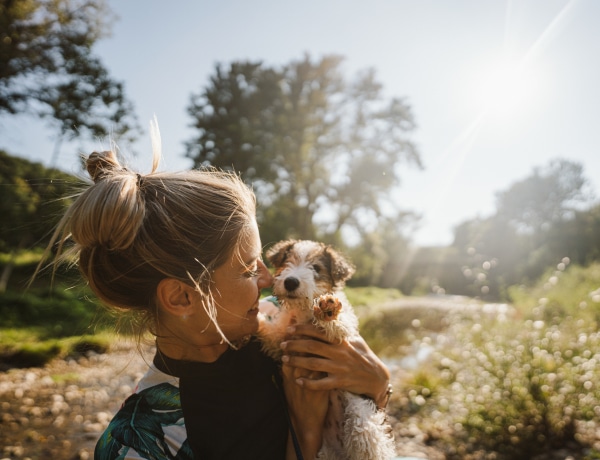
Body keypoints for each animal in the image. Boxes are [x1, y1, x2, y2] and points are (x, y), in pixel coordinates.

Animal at [256, 239, 394, 460]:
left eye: (316, 268)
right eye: (288, 261)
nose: (291, 282)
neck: (303, 311)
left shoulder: (346, 330)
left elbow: (339, 324)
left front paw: (327, 311)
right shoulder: (280, 339)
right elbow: (269, 331)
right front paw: (252, 320)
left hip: (359, 410)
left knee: (364, 434)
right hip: (325, 451)